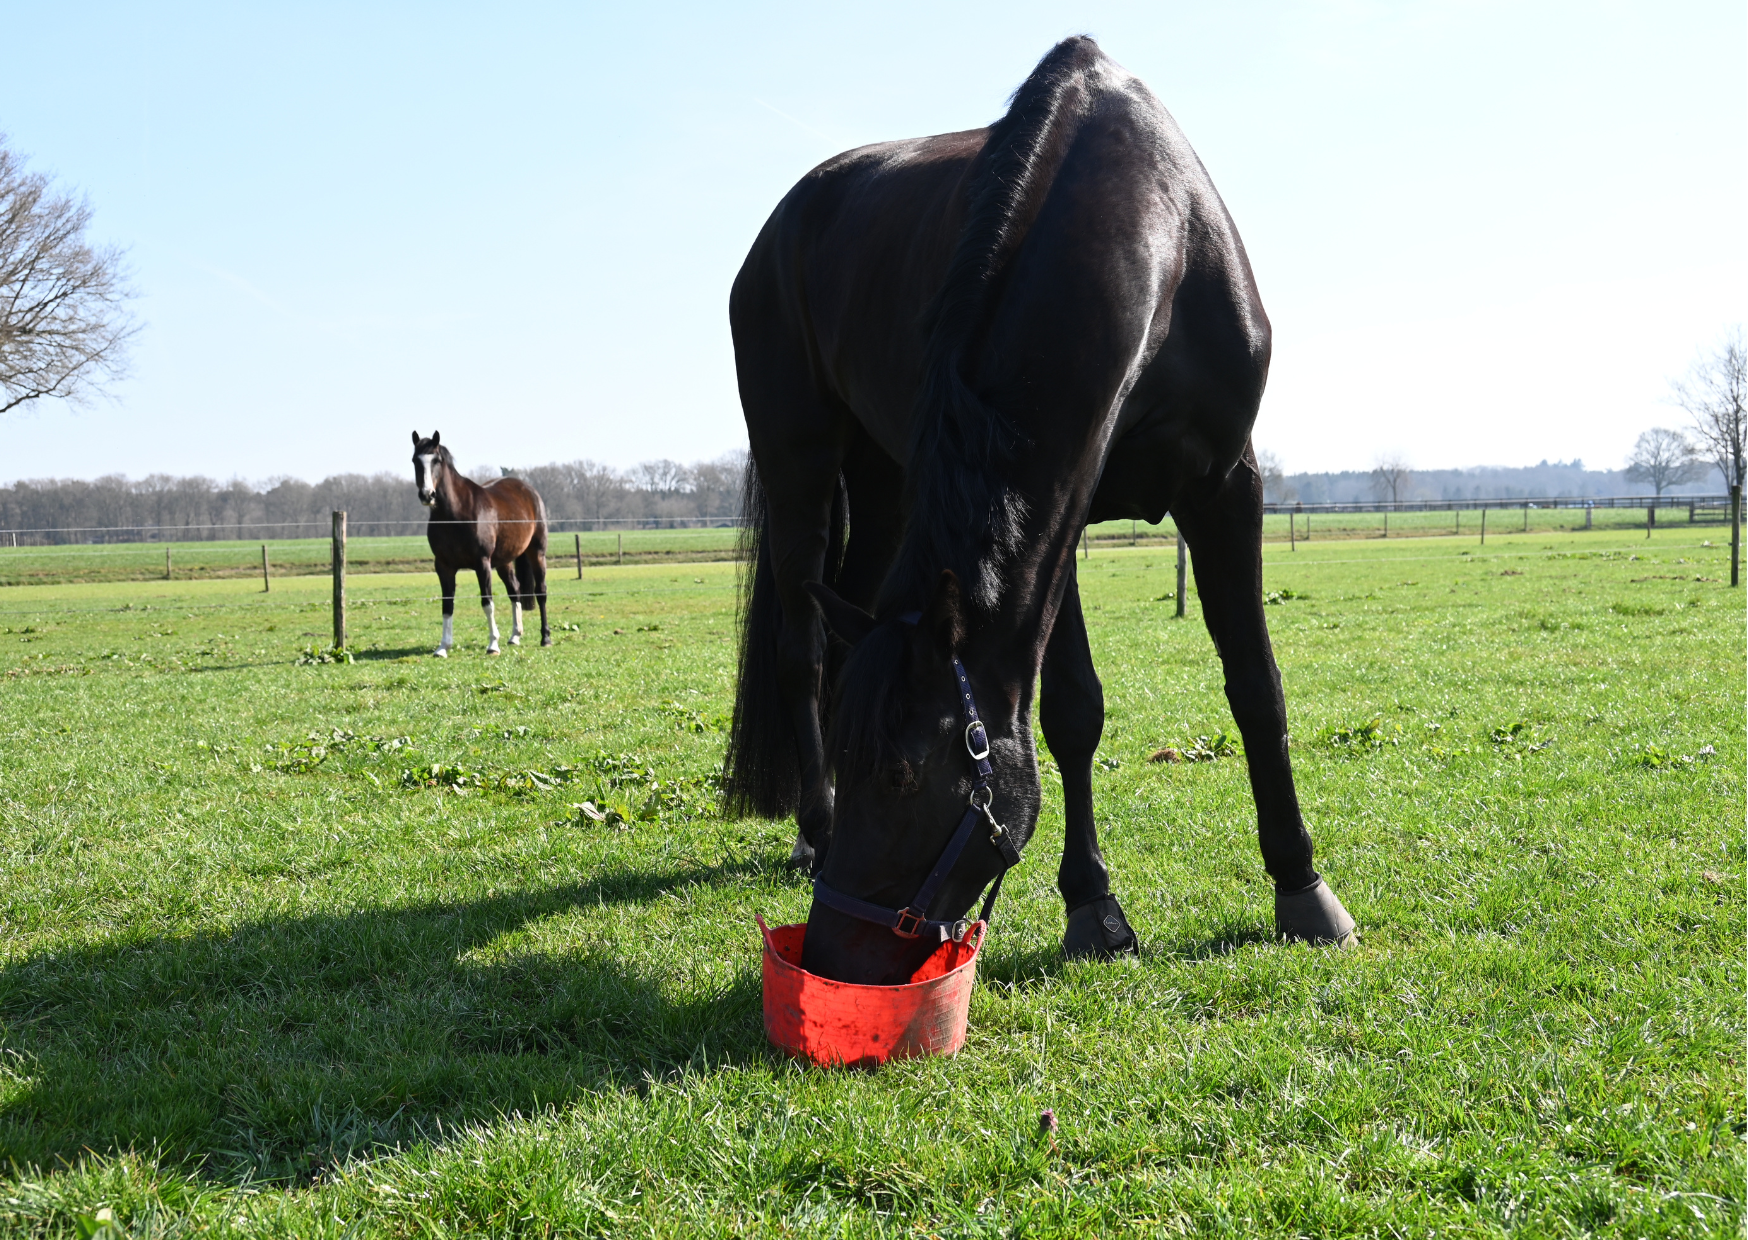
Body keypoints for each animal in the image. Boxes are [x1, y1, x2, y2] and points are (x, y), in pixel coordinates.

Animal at [410, 431, 551, 656]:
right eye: (415, 460)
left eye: (437, 460)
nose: (427, 494)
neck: (455, 514)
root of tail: (529, 490)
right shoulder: (443, 567)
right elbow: (447, 605)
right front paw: (443, 647)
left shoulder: (482, 563)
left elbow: (487, 602)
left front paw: (493, 645)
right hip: (504, 562)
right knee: (515, 590)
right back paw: (515, 636)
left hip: (536, 553)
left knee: (541, 591)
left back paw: (545, 637)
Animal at [723, 37, 1356, 985]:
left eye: (905, 776)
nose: (831, 953)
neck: (1159, 232)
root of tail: (784, 222)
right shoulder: (1062, 510)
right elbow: (1072, 711)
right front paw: (1093, 905)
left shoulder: (1226, 486)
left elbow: (1256, 686)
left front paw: (1302, 887)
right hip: (798, 459)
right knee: (801, 651)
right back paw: (813, 831)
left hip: (887, 483)